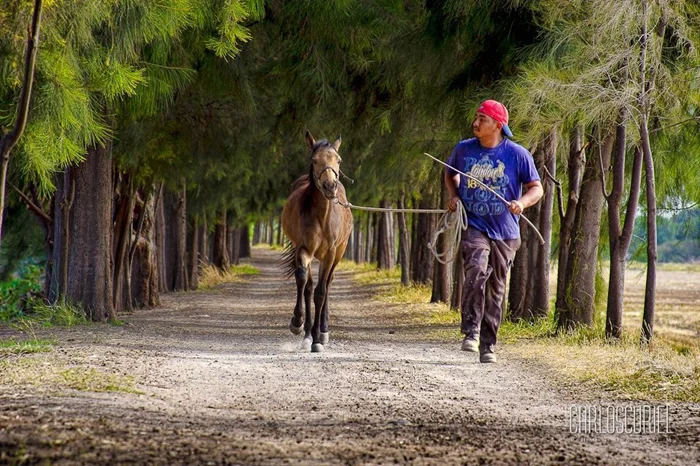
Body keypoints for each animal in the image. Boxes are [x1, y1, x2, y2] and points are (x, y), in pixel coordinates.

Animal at [280, 131, 352, 354]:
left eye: (339, 160)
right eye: (314, 160)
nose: (330, 186)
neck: (322, 217)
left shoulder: (330, 254)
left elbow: (321, 292)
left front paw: (318, 340)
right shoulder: (303, 249)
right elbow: (304, 282)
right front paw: (298, 324)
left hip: (339, 253)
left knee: (327, 285)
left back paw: (323, 330)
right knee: (309, 287)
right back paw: (308, 333)